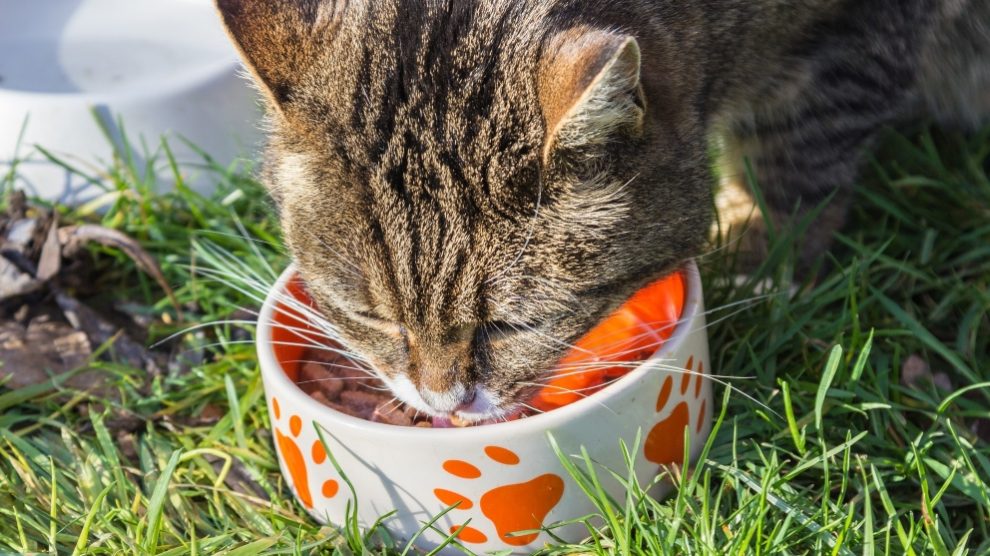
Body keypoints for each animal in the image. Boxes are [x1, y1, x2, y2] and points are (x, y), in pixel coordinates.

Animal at [217, 0, 990, 422]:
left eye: (513, 324)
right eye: (371, 316)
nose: (443, 404)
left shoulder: (852, 39)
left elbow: (797, 155)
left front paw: (762, 261)